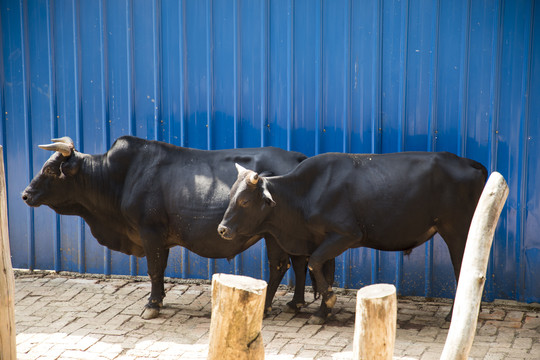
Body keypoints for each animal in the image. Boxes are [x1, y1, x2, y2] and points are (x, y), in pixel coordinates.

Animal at [22, 136, 312, 320]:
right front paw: (159, 297)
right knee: (300, 262)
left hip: (273, 234)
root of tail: (297, 157)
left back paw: (268, 307)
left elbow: (153, 269)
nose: (25, 195)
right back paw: (295, 303)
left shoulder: (149, 231)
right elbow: (160, 268)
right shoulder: (161, 237)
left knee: (279, 266)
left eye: (50, 170)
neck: (120, 177)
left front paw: (152, 305)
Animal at [217, 152, 488, 324]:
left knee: (463, 268)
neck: (305, 193)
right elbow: (322, 271)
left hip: (458, 231)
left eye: (244, 201)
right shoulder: (322, 239)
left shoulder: (346, 234)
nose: (222, 229)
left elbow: (314, 263)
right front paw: (323, 312)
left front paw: (328, 301)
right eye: (231, 196)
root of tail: (467, 161)